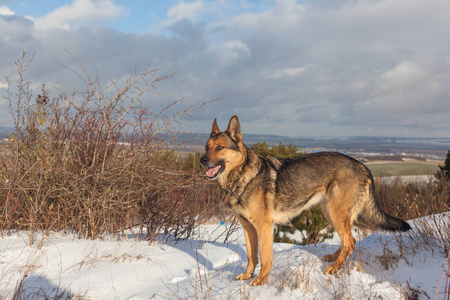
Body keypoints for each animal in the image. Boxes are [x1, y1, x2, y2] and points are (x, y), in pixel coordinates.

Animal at [200, 115, 412, 286]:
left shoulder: (264, 227)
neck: (242, 175)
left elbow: (265, 257)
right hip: (331, 213)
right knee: (348, 242)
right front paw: (247, 275)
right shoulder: (248, 228)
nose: (202, 160)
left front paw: (261, 280)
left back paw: (334, 268)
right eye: (206, 147)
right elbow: (252, 256)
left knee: (350, 242)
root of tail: (364, 167)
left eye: (220, 147)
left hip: (336, 213)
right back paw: (333, 259)